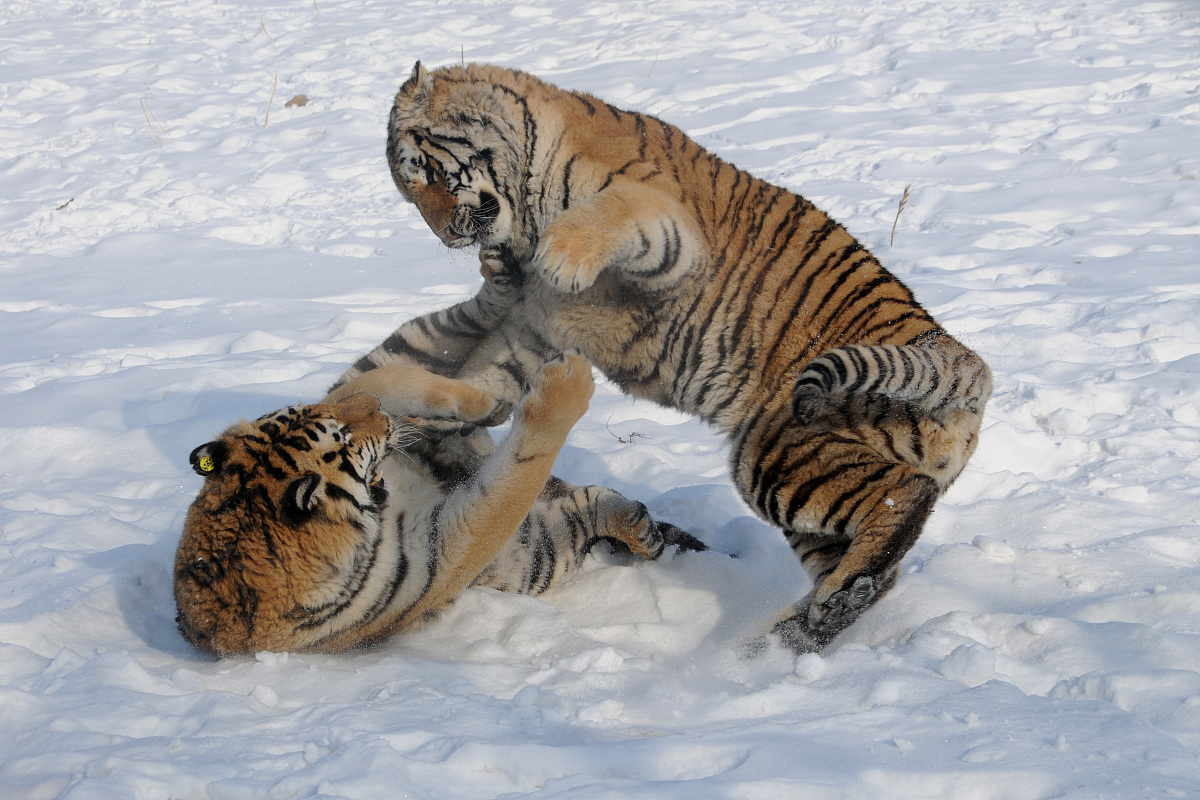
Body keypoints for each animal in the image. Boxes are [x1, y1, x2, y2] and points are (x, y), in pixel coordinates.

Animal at [172, 355, 700, 657]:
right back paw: (639, 527)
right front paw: (566, 378)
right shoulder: (447, 552)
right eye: (342, 437)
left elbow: (393, 377)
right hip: (536, 553)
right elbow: (514, 480)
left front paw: (488, 402)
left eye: (309, 413)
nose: (378, 411)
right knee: (581, 510)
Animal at [338, 61, 993, 652]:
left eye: (421, 170)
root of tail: (954, 352)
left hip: (780, 449)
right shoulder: (532, 329)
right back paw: (791, 634)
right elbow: (485, 377)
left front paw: (562, 255)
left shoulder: (667, 230)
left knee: (904, 496)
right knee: (866, 560)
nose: (447, 235)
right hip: (796, 480)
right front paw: (439, 415)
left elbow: (612, 211)